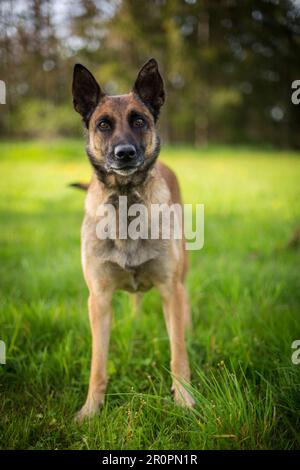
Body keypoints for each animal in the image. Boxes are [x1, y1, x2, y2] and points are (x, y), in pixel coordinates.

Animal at [72, 58, 195, 422]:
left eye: (139, 120)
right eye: (103, 124)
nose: (124, 153)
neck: (126, 202)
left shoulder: (169, 288)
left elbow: (178, 354)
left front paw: (185, 400)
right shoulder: (98, 299)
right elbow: (98, 364)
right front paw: (90, 410)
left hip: (182, 275)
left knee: (185, 305)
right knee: (137, 300)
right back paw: (135, 321)